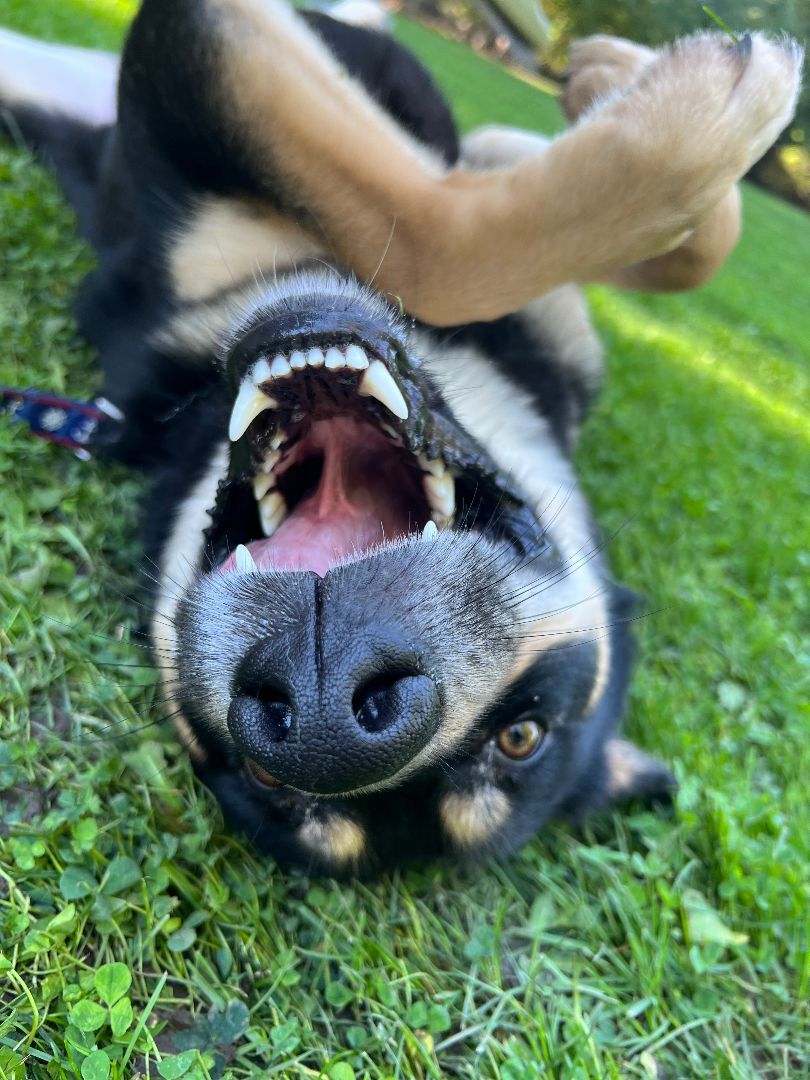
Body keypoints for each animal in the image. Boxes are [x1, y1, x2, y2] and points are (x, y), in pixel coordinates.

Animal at [0, 2, 803, 876]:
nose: (326, 716)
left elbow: (479, 224)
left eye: (520, 735)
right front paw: (686, 96)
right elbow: (453, 239)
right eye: (263, 775)